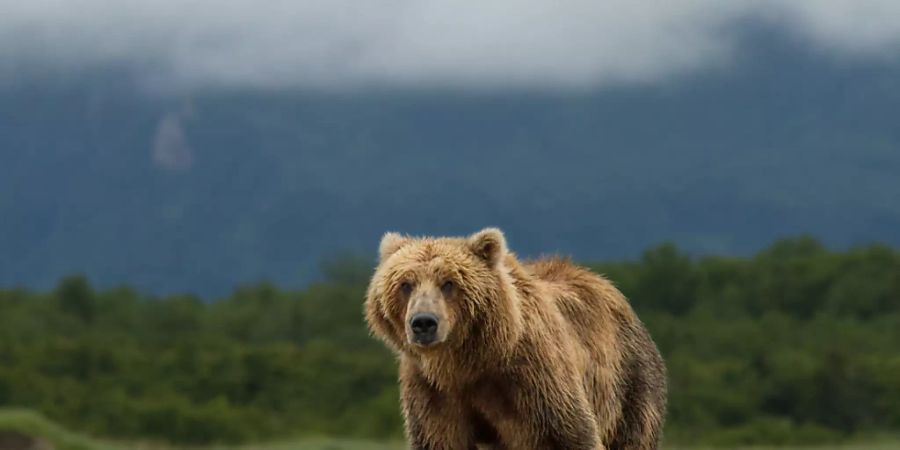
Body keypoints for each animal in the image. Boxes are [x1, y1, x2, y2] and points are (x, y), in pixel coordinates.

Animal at [366, 229, 668, 450]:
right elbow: (439, 438)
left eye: (449, 283)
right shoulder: (432, 390)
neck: (467, 362)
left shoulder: (535, 378)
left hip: (628, 383)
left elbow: (567, 435)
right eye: (405, 284)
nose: (424, 323)